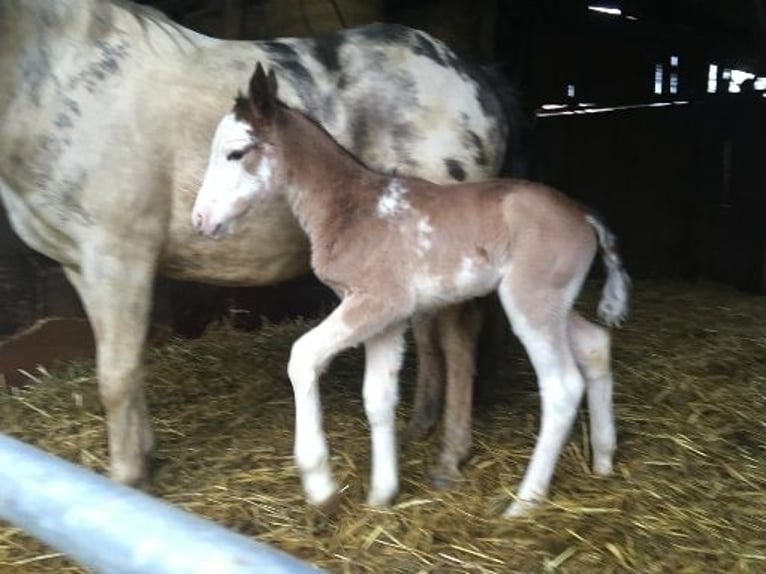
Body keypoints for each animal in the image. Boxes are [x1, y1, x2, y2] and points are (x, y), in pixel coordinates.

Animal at [0, 1, 514, 486]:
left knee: (459, 340)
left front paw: (127, 479)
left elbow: (116, 376)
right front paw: (145, 457)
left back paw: (450, 456)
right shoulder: (80, 266)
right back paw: (420, 425)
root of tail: (472, 78)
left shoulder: (118, 258)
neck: (63, 81)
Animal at [191, 64, 630, 516]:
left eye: (236, 153)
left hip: (530, 303)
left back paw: (523, 503)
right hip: (552, 301)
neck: (351, 209)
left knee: (562, 387)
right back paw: (603, 459)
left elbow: (303, 357)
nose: (200, 220)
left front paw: (321, 486)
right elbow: (378, 397)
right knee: (595, 343)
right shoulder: (388, 318)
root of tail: (584, 214)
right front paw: (382, 494)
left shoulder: (377, 301)